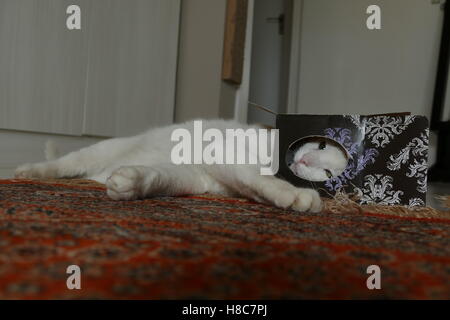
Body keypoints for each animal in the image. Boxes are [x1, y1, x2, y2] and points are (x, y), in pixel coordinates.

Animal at [13, 120, 344, 212]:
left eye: (330, 173)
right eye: (321, 145)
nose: (305, 160)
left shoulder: (194, 177)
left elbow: (157, 178)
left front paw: (130, 184)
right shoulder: (222, 153)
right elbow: (261, 178)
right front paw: (294, 194)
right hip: (94, 151)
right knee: (59, 164)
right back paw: (27, 172)